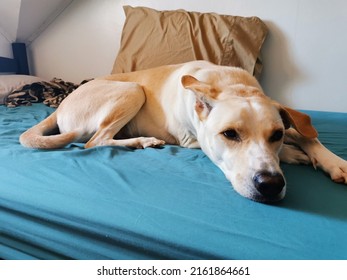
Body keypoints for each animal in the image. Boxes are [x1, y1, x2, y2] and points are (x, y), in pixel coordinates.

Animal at [19, 60, 347, 202]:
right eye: (230, 134)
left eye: (275, 135)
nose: (270, 184)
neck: (232, 85)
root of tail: (61, 105)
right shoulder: (193, 141)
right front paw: (293, 154)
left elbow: (307, 133)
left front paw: (333, 162)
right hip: (132, 89)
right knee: (94, 141)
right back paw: (141, 140)